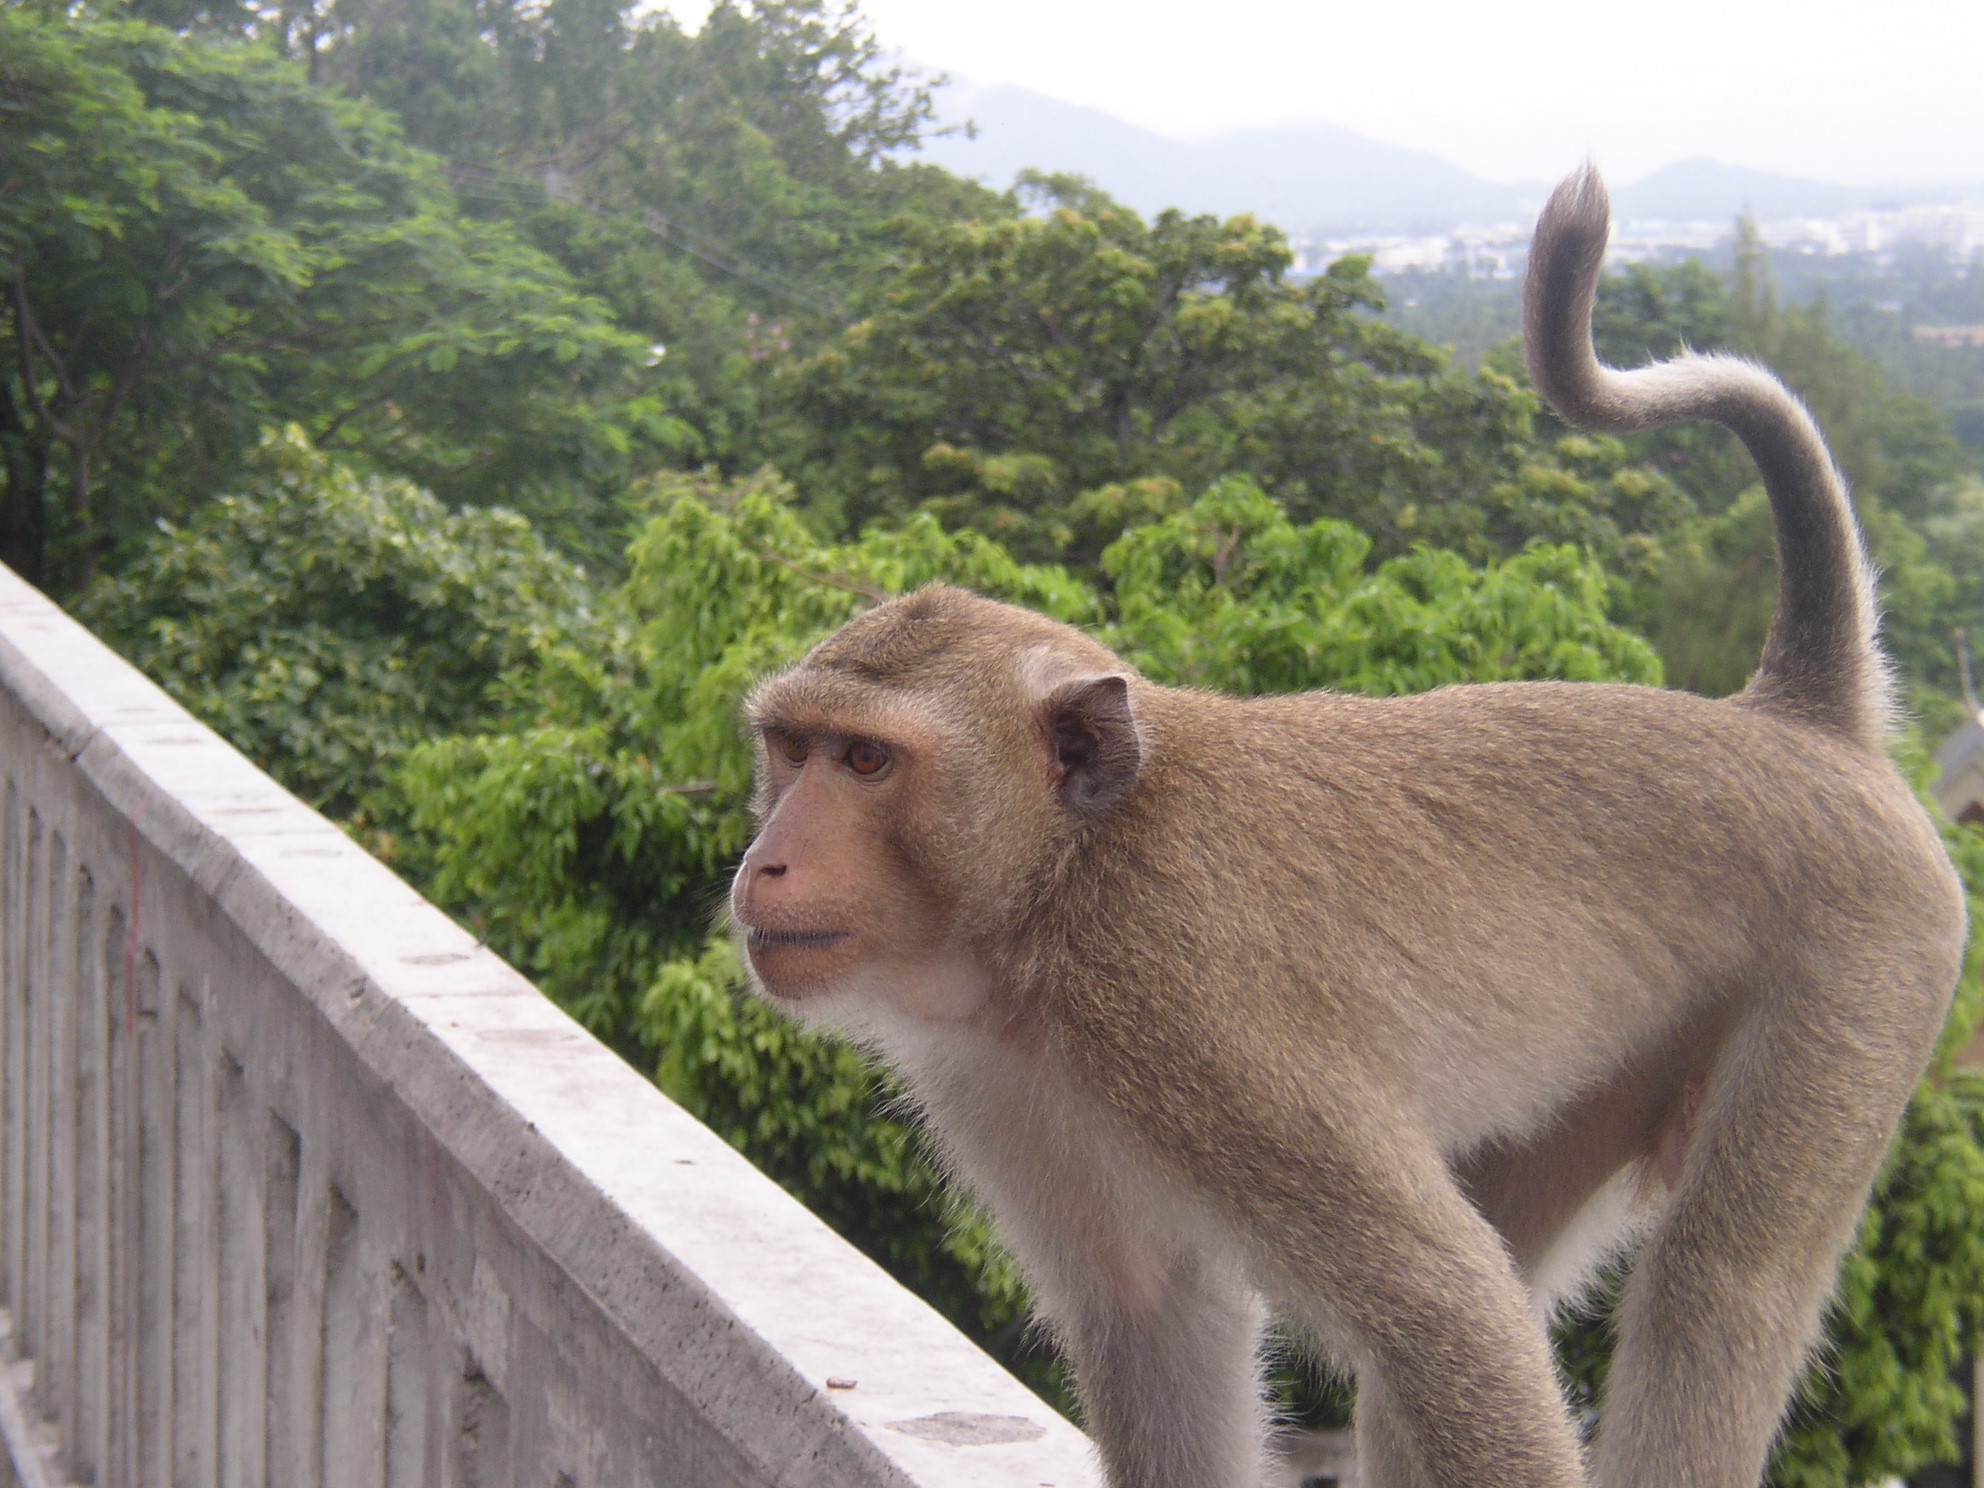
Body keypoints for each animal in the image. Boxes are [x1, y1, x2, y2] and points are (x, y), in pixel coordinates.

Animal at [728, 165, 1967, 1488]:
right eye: (791, 750)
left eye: (865, 761)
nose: (767, 858)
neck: (1060, 893)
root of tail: (1802, 720)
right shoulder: (992, 1072)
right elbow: (1158, 1315)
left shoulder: (1187, 1012)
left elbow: (1439, 1306)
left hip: (1864, 967)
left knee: (1716, 1286)